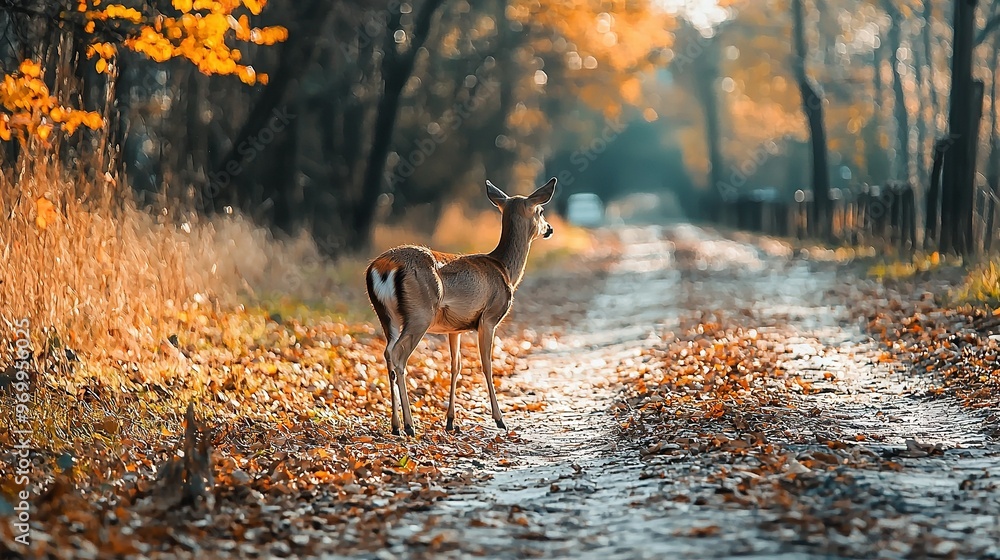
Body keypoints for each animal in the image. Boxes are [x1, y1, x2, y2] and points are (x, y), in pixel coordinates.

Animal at [366, 177, 556, 436]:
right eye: (541, 210)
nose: (549, 228)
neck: (505, 270)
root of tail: (383, 267)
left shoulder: (453, 329)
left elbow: (455, 366)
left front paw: (450, 421)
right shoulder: (489, 318)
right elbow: (486, 365)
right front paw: (500, 419)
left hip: (387, 317)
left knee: (387, 353)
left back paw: (396, 426)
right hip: (420, 314)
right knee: (398, 355)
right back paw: (409, 425)